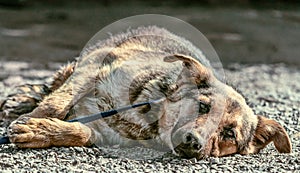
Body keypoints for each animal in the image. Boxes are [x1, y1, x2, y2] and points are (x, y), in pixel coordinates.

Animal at [0, 25, 290, 159]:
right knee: (52, 87)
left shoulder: (102, 133)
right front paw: (33, 121)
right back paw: (20, 103)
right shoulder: (94, 66)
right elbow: (56, 103)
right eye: (203, 107)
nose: (194, 142)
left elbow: (79, 132)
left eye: (229, 134)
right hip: (83, 61)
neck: (149, 110)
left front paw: (39, 131)